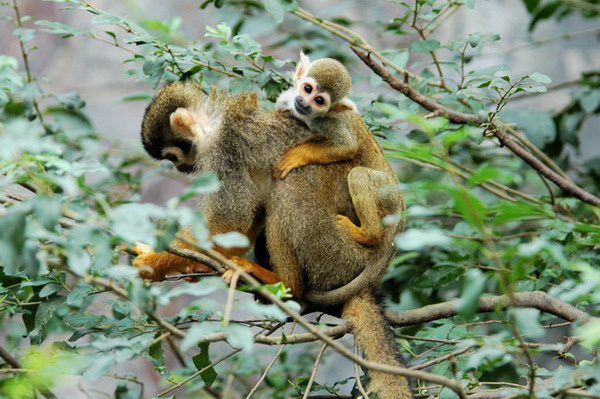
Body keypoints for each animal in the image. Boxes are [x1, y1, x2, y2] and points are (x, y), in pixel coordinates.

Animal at [137, 79, 408, 398]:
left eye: (172, 157)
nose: (179, 169)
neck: (215, 121)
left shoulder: (223, 152)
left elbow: (227, 224)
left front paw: (154, 262)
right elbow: (246, 217)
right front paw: (194, 264)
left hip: (338, 254)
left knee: (289, 188)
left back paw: (283, 283)